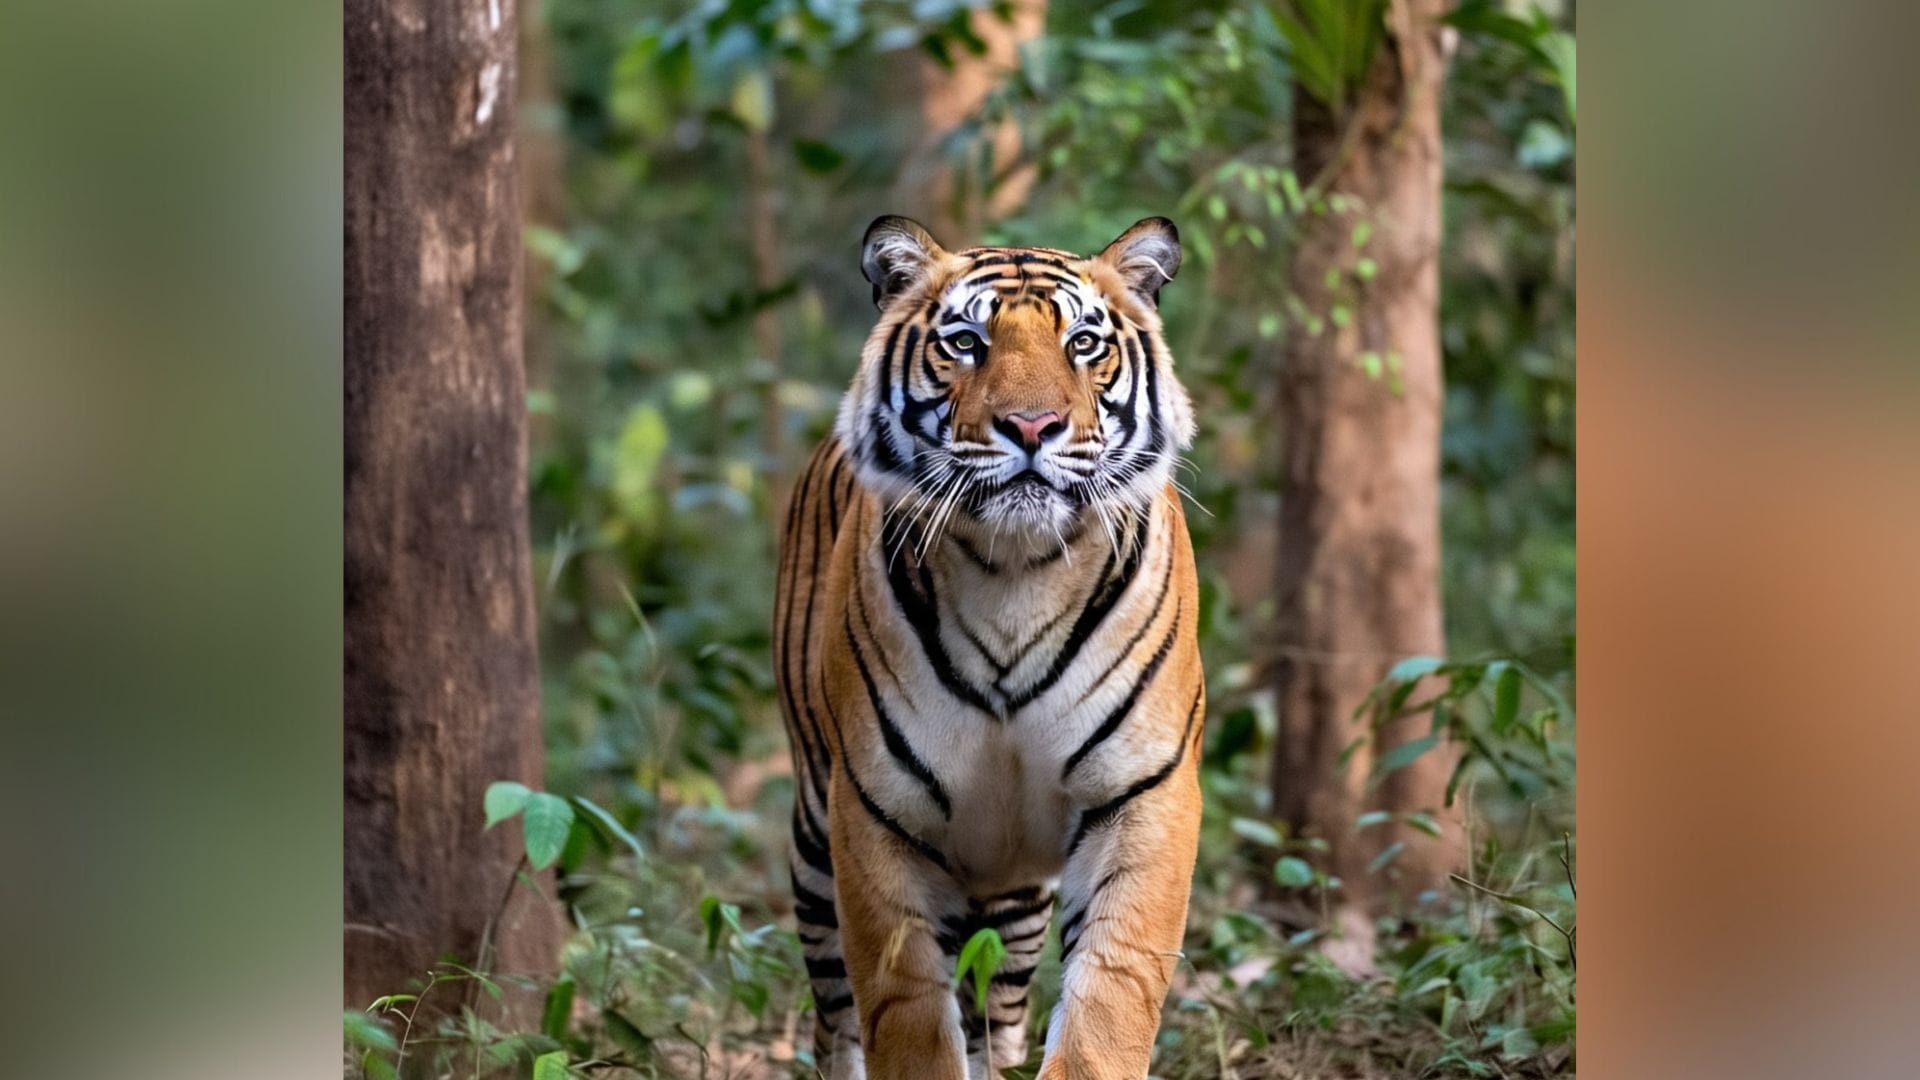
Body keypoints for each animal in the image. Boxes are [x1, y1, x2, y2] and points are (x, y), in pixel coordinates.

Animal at [772, 214, 1205, 1080]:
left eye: (1082, 343)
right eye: (967, 342)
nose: (1032, 427)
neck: (1017, 569)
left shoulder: (1143, 793)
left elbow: (1108, 1001)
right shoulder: (877, 814)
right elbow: (906, 1013)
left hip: (1013, 892)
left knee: (995, 1012)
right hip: (813, 838)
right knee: (835, 1022)